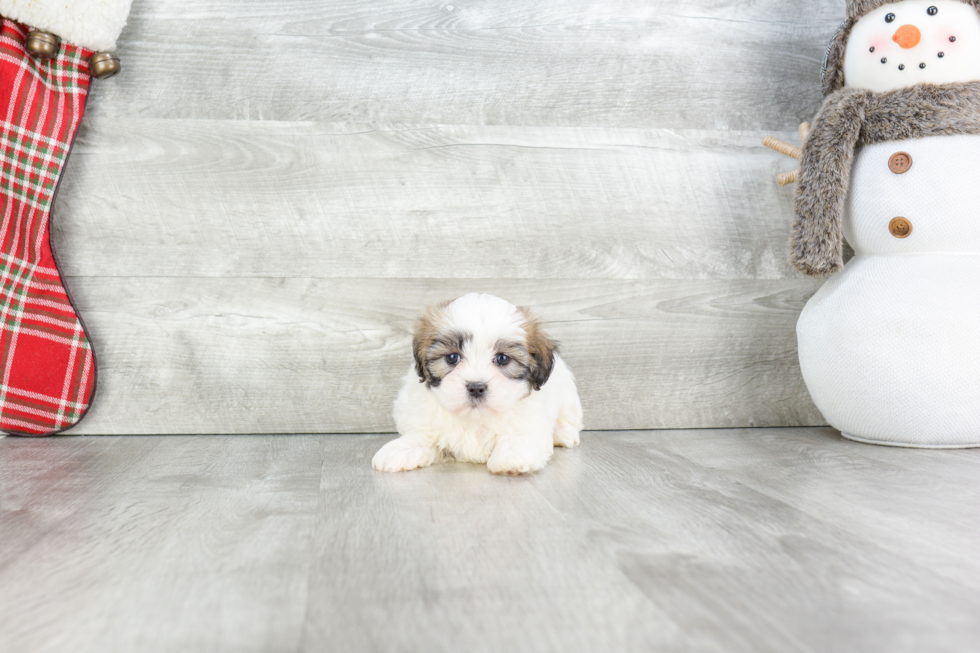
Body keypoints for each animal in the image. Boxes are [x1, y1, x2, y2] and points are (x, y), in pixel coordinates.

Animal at [372, 294, 580, 474]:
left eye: (503, 359)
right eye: (452, 358)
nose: (476, 387)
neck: (475, 418)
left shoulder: (531, 420)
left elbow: (521, 435)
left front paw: (512, 456)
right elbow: (420, 436)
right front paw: (399, 450)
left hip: (567, 394)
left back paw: (563, 434)